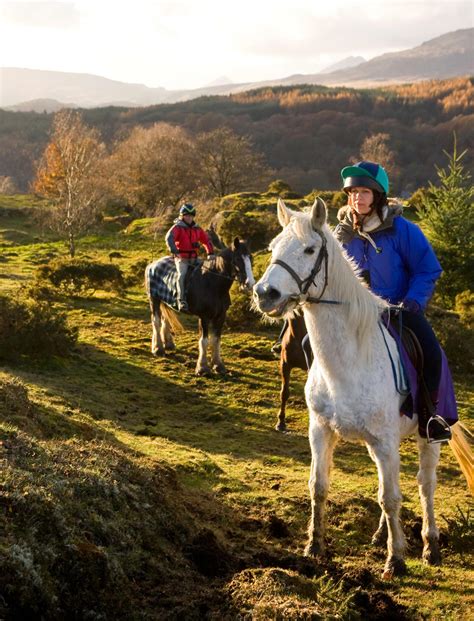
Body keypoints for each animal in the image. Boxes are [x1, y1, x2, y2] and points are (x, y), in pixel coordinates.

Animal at [146, 236, 256, 372]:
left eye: (250, 257)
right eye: (237, 259)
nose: (249, 284)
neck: (213, 284)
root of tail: (152, 265)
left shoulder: (221, 316)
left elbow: (216, 340)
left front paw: (218, 365)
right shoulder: (204, 316)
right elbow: (204, 341)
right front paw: (202, 367)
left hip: (165, 300)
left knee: (164, 319)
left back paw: (168, 344)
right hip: (154, 299)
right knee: (156, 321)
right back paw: (158, 349)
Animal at [254, 197, 472, 576]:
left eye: (310, 249)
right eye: (273, 247)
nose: (265, 294)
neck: (348, 361)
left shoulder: (384, 440)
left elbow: (391, 497)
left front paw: (395, 560)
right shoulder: (321, 431)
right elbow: (319, 486)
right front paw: (314, 546)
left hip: (429, 435)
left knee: (425, 484)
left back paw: (430, 546)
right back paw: (381, 535)